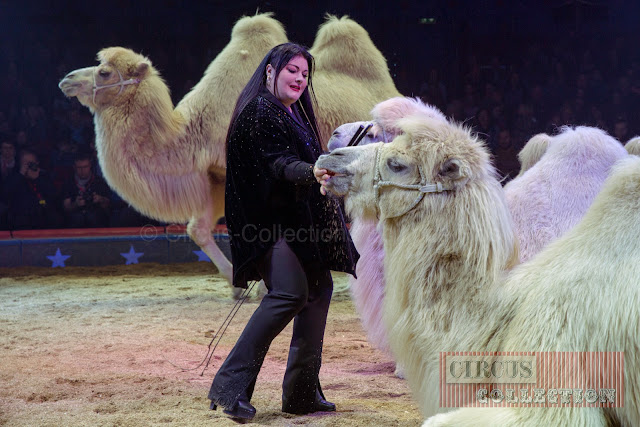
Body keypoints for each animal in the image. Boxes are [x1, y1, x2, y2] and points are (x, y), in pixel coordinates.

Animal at [60, 13, 400, 298]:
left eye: (104, 72)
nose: (67, 79)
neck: (193, 132)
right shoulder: (215, 177)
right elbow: (198, 229)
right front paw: (238, 286)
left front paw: (260, 286)